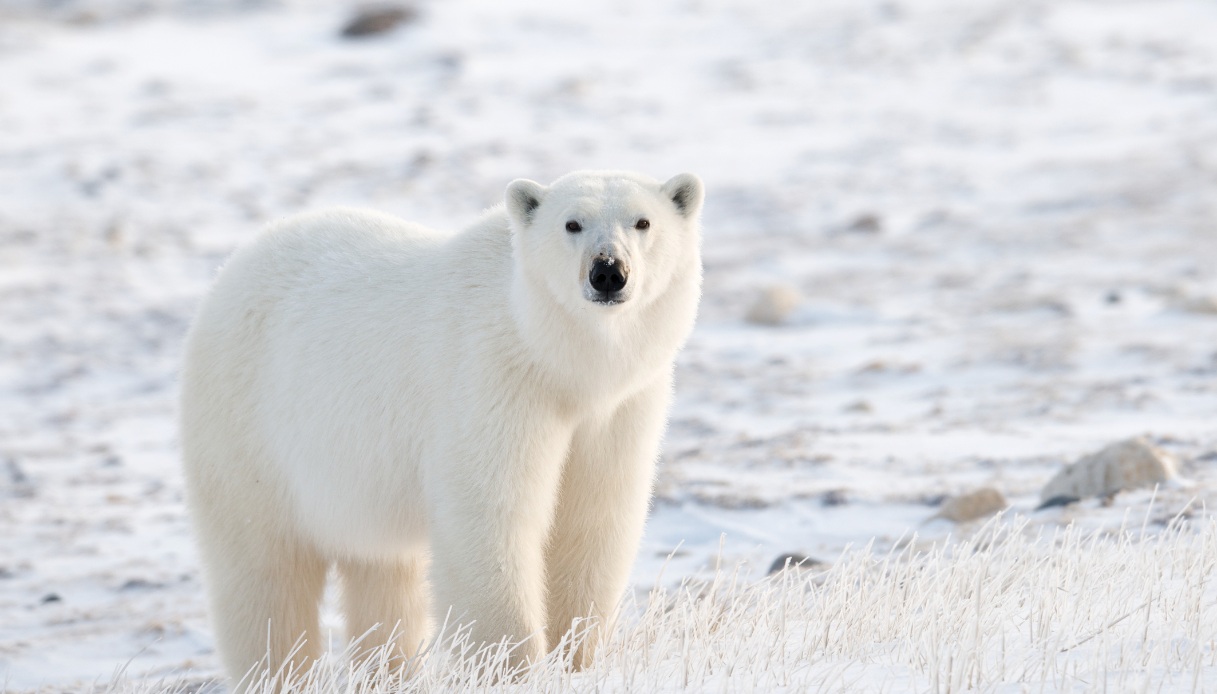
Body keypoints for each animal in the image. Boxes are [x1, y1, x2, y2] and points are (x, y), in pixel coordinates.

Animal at [177, 170, 705, 681]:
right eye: (572, 223)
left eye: (643, 222)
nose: (608, 271)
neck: (558, 361)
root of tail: (233, 268)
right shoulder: (492, 380)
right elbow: (490, 517)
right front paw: (512, 668)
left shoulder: (619, 408)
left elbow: (593, 519)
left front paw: (576, 659)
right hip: (248, 433)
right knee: (265, 577)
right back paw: (278, 672)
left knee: (384, 578)